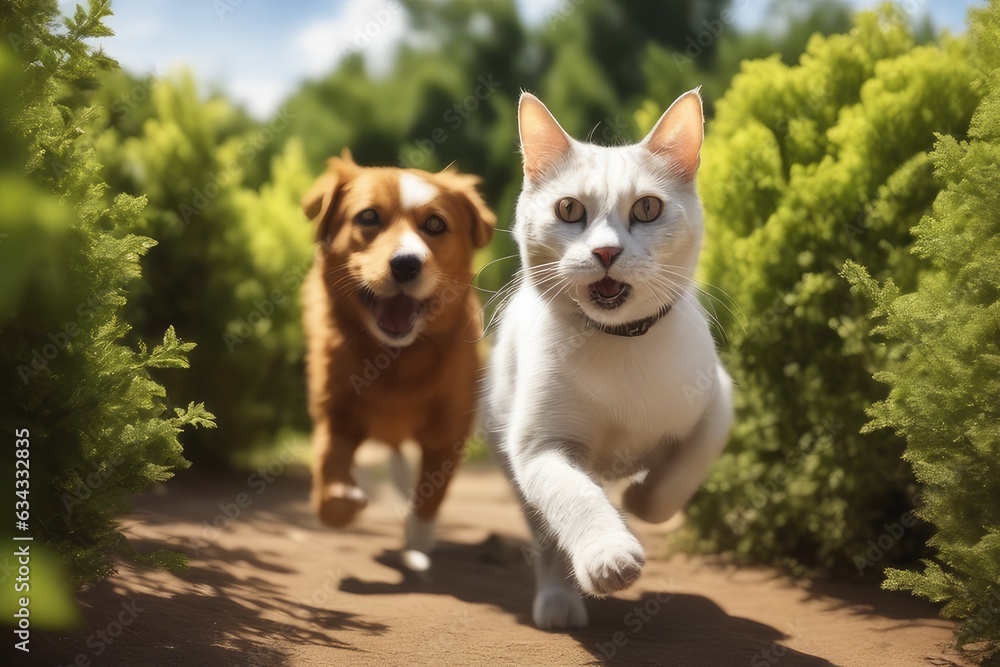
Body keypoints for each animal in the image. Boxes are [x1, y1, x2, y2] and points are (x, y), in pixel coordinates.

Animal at [300, 150, 496, 568]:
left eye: (435, 224)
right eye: (368, 217)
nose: (406, 263)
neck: (396, 359)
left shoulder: (448, 434)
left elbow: (430, 496)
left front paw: (417, 545)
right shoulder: (335, 412)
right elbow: (328, 462)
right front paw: (340, 500)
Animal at [486, 90, 736, 632]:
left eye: (647, 207)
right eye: (568, 209)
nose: (605, 251)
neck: (619, 344)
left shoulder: (719, 399)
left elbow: (682, 472)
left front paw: (641, 496)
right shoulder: (540, 447)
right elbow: (576, 496)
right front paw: (609, 555)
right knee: (547, 532)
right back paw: (559, 600)